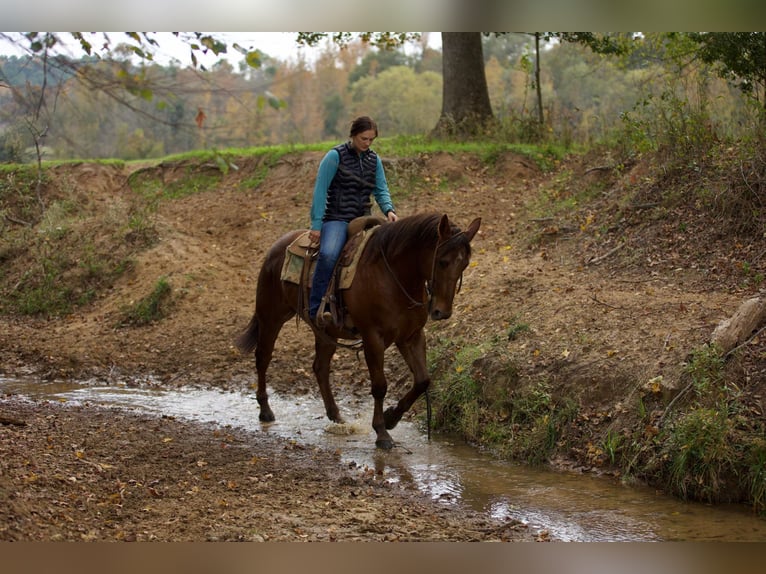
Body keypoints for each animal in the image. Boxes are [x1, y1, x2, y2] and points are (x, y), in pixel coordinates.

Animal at [237, 213, 484, 450]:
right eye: (442, 262)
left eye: (464, 264)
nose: (442, 312)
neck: (392, 274)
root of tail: (278, 245)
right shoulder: (373, 337)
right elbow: (380, 386)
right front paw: (382, 433)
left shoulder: (411, 336)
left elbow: (423, 380)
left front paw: (391, 418)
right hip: (271, 317)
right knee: (263, 358)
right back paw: (265, 411)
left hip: (325, 331)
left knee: (320, 367)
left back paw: (336, 416)